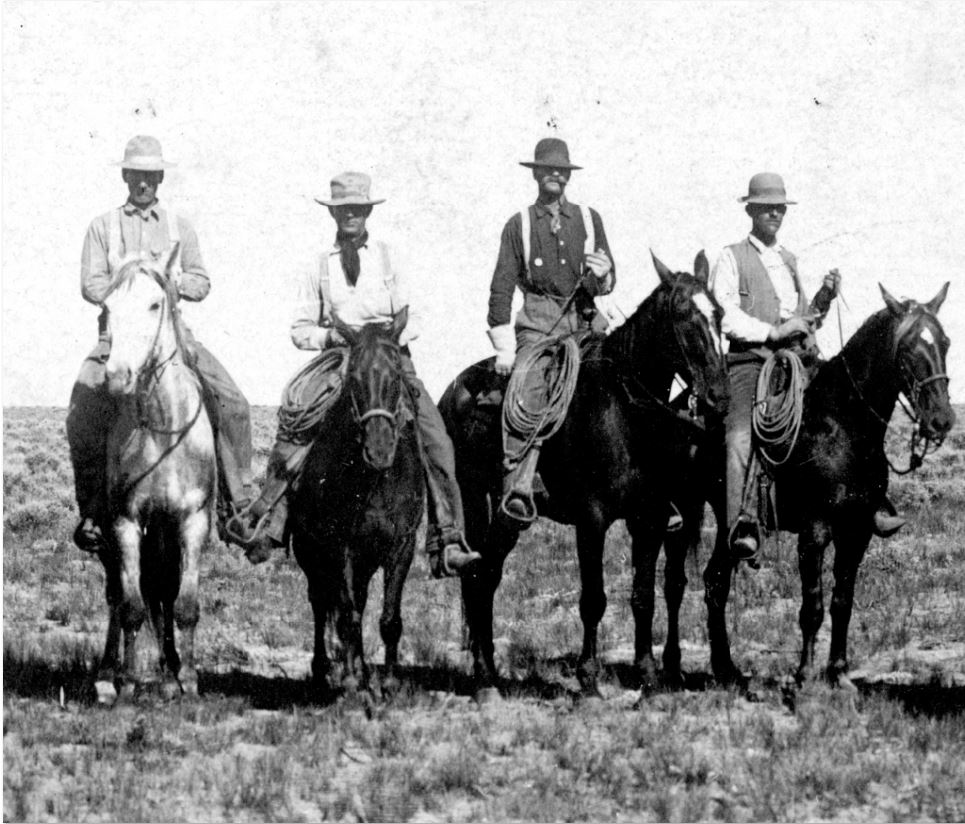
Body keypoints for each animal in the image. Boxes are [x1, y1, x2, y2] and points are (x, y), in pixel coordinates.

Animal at [94, 243, 215, 700]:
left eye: (154, 303)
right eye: (107, 307)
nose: (117, 376)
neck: (163, 428)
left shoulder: (193, 520)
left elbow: (185, 604)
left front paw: (188, 678)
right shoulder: (125, 522)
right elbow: (130, 607)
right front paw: (129, 681)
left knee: (162, 592)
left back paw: (169, 670)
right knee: (117, 596)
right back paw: (108, 677)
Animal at [286, 312, 422, 700]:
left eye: (396, 374)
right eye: (353, 379)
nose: (379, 450)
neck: (374, 482)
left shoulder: (401, 546)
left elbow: (389, 619)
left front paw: (389, 683)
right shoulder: (340, 545)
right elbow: (346, 616)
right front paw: (348, 682)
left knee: (359, 604)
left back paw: (361, 671)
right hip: (311, 554)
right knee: (321, 603)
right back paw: (325, 671)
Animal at [438, 254, 732, 700]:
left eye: (719, 314)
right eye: (683, 315)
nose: (719, 396)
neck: (624, 411)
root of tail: (451, 391)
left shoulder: (650, 519)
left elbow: (643, 596)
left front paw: (648, 676)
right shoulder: (591, 520)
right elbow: (593, 599)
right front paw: (589, 680)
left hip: (505, 518)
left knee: (486, 575)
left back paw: (489, 674)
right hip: (473, 497)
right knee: (475, 576)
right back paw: (485, 679)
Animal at [668, 282, 952, 688]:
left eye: (944, 342)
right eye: (909, 347)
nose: (942, 420)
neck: (842, 425)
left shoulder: (857, 530)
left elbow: (842, 602)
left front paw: (839, 672)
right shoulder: (814, 530)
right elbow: (812, 606)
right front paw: (804, 675)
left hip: (725, 524)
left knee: (714, 582)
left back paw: (726, 669)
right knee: (674, 584)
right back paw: (671, 668)